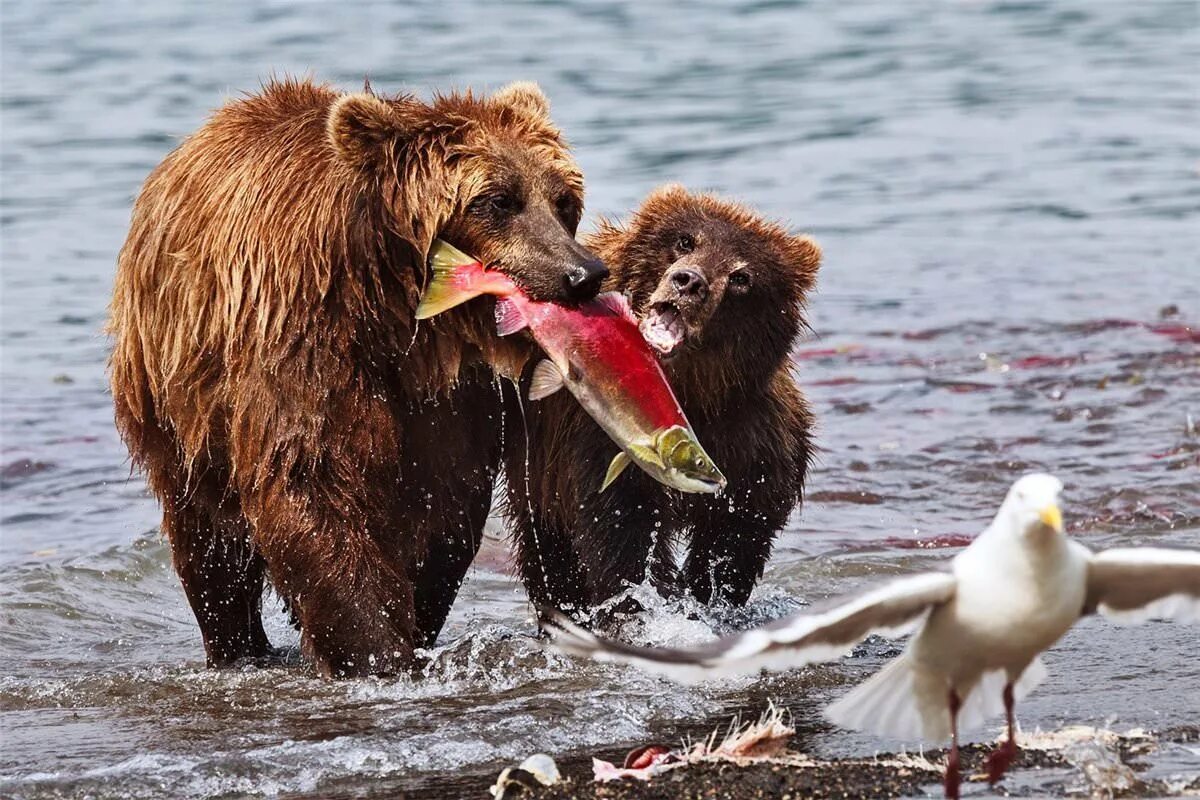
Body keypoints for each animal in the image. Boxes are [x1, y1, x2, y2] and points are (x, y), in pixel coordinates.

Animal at [109, 74, 609, 681]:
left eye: (562, 200)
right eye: (497, 200)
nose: (582, 274)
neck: (395, 318)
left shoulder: (453, 398)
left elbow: (443, 511)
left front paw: (410, 625)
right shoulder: (299, 346)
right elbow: (309, 483)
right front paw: (375, 649)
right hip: (177, 404)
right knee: (209, 542)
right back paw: (237, 645)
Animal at [501, 185, 820, 618]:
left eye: (742, 276)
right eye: (685, 241)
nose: (689, 281)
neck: (687, 389)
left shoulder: (751, 439)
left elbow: (736, 537)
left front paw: (707, 596)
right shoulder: (599, 434)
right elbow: (623, 528)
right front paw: (645, 602)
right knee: (548, 552)